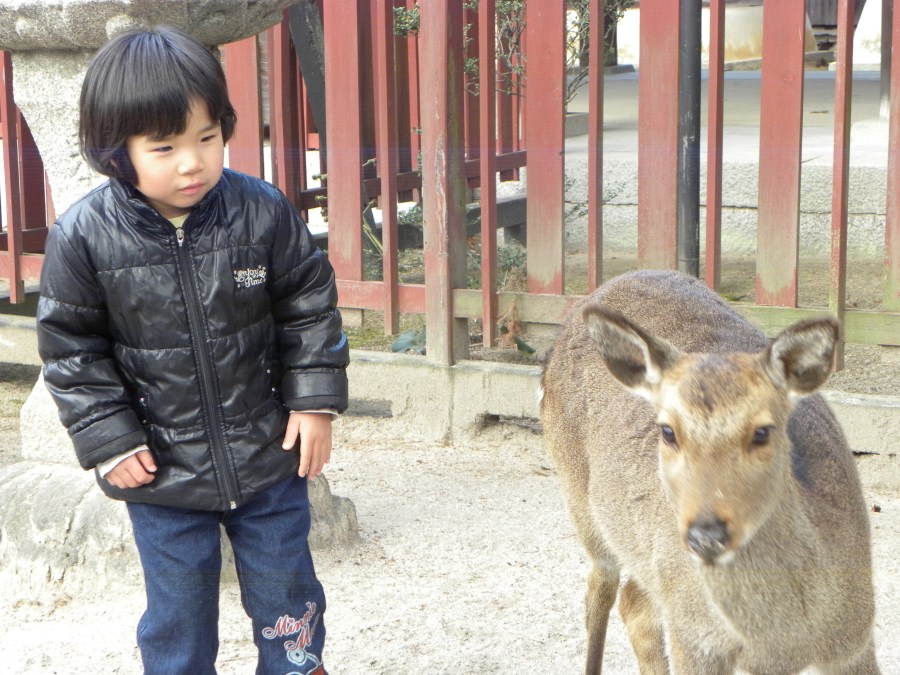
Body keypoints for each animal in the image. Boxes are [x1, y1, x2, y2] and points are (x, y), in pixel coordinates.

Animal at [539, 270, 879, 674]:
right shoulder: (694, 641)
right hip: (578, 493)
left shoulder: (857, 639)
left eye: (762, 431)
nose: (707, 534)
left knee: (635, 602)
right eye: (667, 430)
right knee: (601, 588)